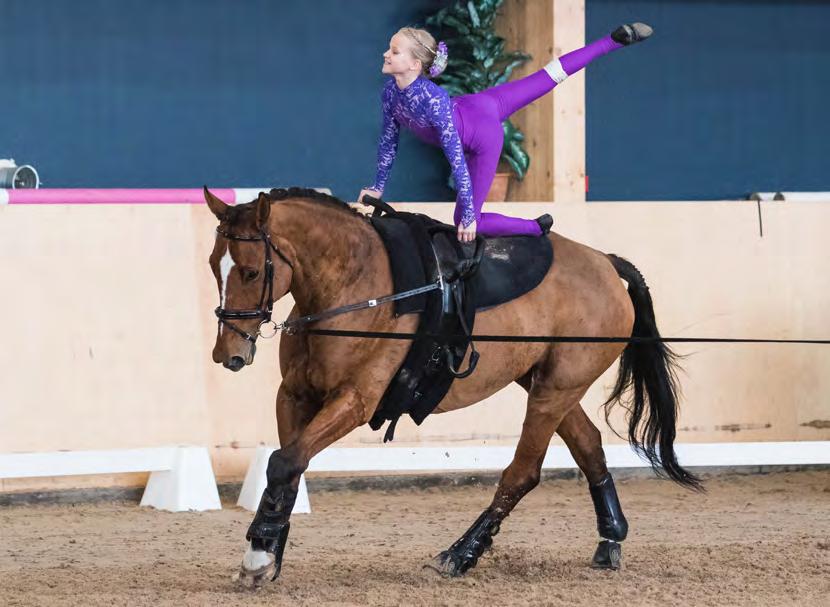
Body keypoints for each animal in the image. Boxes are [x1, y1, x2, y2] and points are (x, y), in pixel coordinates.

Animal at [205, 188, 700, 588]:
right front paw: (267, 555)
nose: (229, 353)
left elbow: (285, 462)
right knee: (589, 445)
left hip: (556, 389)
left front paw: (258, 555)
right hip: (546, 383)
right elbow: (289, 467)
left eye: (250, 272)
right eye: (214, 266)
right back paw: (609, 539)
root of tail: (605, 263)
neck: (354, 285)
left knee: (523, 473)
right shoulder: (294, 396)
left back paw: (459, 555)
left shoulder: (355, 400)